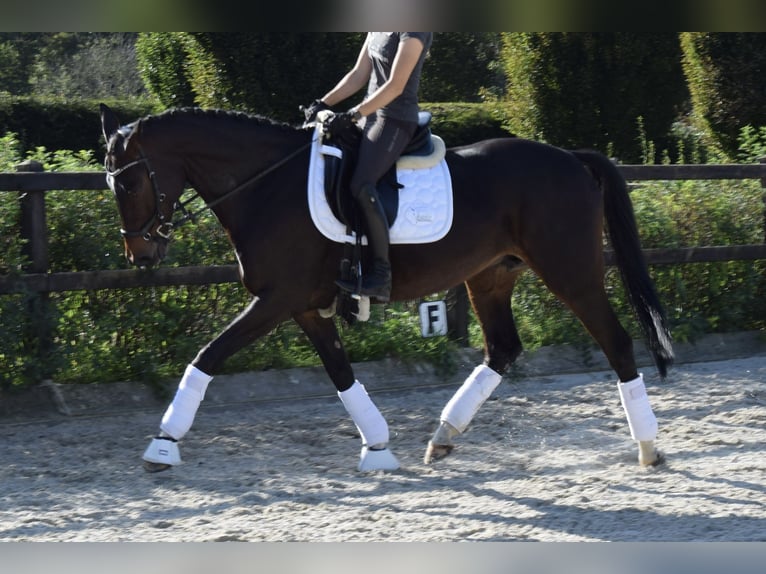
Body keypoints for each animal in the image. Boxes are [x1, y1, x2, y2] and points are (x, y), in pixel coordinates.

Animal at [99, 106, 676, 474]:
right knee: (502, 348)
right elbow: (341, 374)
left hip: (570, 272)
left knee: (616, 342)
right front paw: (377, 447)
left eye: (127, 181)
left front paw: (163, 445)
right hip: (490, 275)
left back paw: (648, 447)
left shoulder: (277, 299)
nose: (140, 256)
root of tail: (571, 158)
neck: (266, 185)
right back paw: (443, 437)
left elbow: (207, 357)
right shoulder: (305, 307)